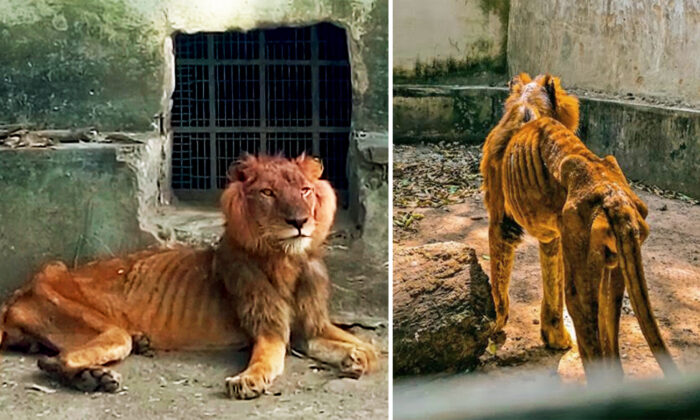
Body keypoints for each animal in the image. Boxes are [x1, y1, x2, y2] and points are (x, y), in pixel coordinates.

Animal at [0, 154, 378, 398]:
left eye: (305, 190)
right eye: (268, 193)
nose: (299, 222)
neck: (288, 260)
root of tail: (19, 293)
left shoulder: (309, 328)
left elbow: (367, 346)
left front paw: (355, 358)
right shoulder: (268, 330)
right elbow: (266, 360)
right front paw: (247, 381)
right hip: (92, 322)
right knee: (54, 361)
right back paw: (94, 380)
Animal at [480, 73, 678, 378]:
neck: (530, 101)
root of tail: (614, 197)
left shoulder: (500, 222)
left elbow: (499, 283)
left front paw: (495, 326)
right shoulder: (553, 236)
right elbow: (552, 281)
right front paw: (555, 337)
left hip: (582, 282)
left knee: (589, 334)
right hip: (614, 273)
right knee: (609, 341)